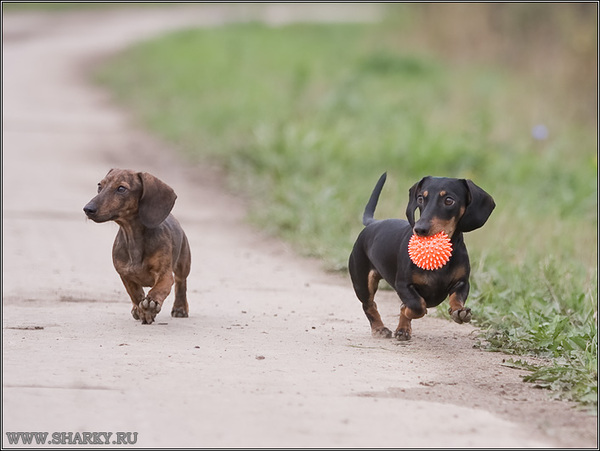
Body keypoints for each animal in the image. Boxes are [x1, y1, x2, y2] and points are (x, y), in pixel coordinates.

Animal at [83, 168, 191, 324]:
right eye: (99, 186)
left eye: (121, 188)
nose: (87, 209)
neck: (133, 238)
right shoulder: (125, 275)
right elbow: (135, 294)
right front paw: (143, 310)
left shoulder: (165, 274)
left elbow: (160, 288)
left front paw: (151, 303)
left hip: (183, 264)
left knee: (181, 283)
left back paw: (180, 308)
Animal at [350, 175, 494, 340]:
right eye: (420, 198)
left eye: (449, 200)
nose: (419, 229)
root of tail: (372, 223)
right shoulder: (403, 285)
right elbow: (417, 305)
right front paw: (407, 311)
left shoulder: (462, 282)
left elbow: (456, 297)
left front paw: (459, 311)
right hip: (362, 282)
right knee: (369, 304)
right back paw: (379, 328)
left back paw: (403, 329)